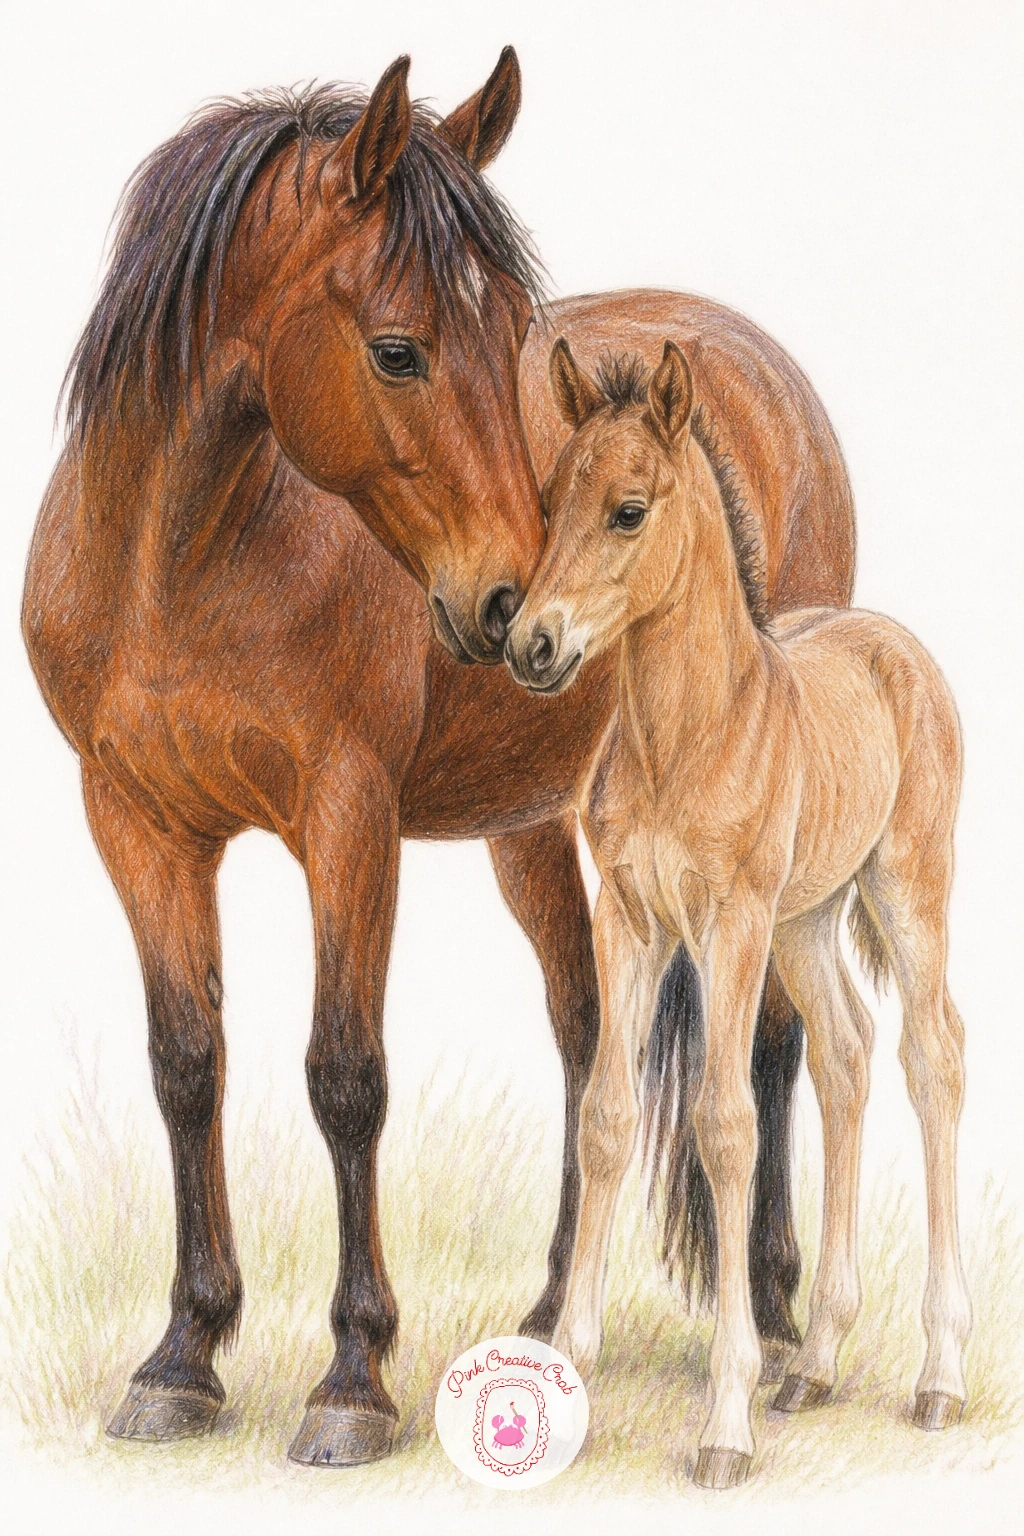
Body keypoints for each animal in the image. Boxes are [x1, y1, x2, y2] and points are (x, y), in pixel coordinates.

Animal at [21, 51, 855, 1467]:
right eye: (398, 350)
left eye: (513, 331)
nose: (516, 613)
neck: (177, 561)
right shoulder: (135, 823)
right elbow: (187, 1065)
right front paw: (184, 1358)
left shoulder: (347, 822)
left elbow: (344, 1076)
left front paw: (352, 1379)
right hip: (536, 832)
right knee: (589, 1039)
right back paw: (552, 1312)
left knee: (770, 1046)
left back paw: (783, 1318)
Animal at [506, 339, 970, 1488]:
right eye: (550, 499)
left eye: (628, 510)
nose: (532, 645)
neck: (689, 730)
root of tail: (890, 640)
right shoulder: (630, 921)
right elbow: (607, 1116)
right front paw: (571, 1376)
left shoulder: (729, 924)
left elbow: (725, 1128)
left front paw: (725, 1421)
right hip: (808, 920)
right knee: (847, 1053)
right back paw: (815, 1365)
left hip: (902, 889)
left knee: (933, 1057)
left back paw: (938, 1376)